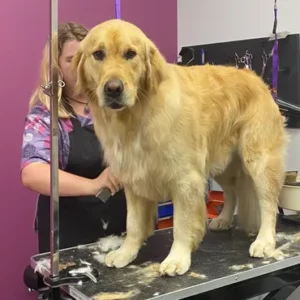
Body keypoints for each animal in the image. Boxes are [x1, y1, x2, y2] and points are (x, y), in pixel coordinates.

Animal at [72, 18, 288, 276]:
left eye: (130, 54)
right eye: (98, 54)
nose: (113, 89)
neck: (137, 116)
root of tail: (257, 79)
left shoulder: (186, 180)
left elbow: (181, 225)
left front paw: (177, 258)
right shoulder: (134, 179)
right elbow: (133, 224)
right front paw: (126, 253)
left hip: (258, 159)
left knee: (268, 202)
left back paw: (264, 241)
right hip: (221, 163)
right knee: (232, 191)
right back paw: (224, 219)